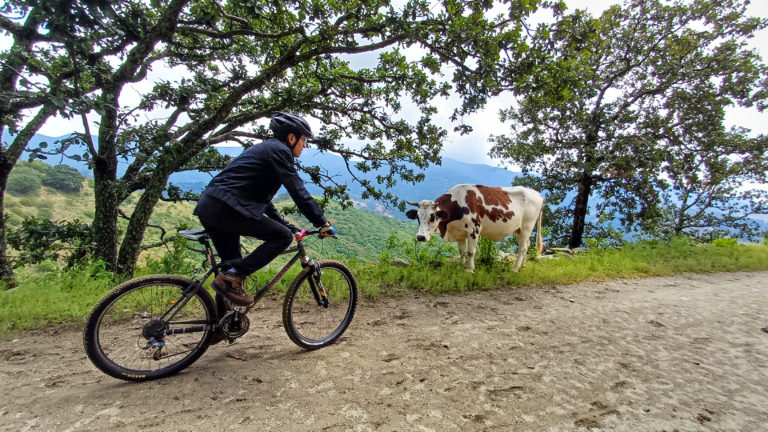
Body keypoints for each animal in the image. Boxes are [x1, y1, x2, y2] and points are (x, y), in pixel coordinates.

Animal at [404, 184, 544, 272]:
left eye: (432, 217)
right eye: (417, 217)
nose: (420, 237)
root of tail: (537, 194)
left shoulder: (474, 230)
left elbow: (471, 252)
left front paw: (469, 270)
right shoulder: (459, 233)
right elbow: (462, 251)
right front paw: (460, 266)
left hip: (527, 226)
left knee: (523, 248)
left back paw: (514, 269)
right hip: (518, 229)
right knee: (527, 245)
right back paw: (522, 266)